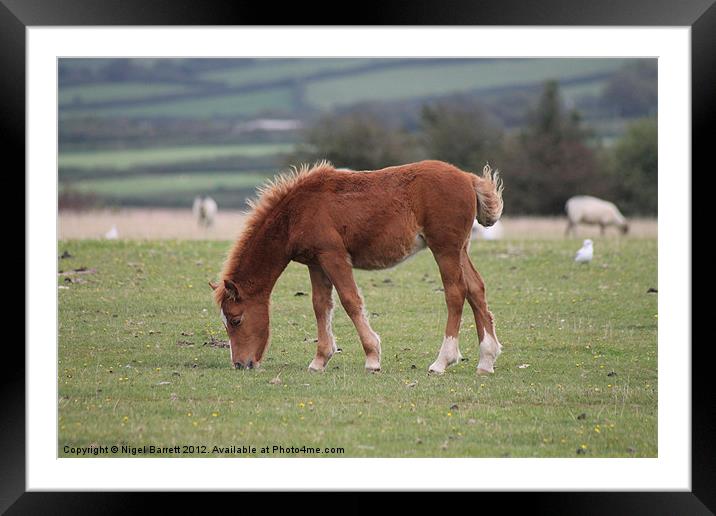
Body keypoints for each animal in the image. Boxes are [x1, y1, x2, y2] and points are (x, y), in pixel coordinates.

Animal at [211, 158, 504, 374]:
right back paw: (486, 361)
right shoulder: (315, 263)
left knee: (456, 292)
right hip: (460, 249)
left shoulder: (334, 256)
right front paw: (320, 360)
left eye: (236, 320)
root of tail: (468, 178)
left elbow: (350, 300)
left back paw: (442, 361)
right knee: (476, 289)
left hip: (445, 249)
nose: (241, 364)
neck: (297, 213)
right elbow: (320, 306)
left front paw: (372, 357)